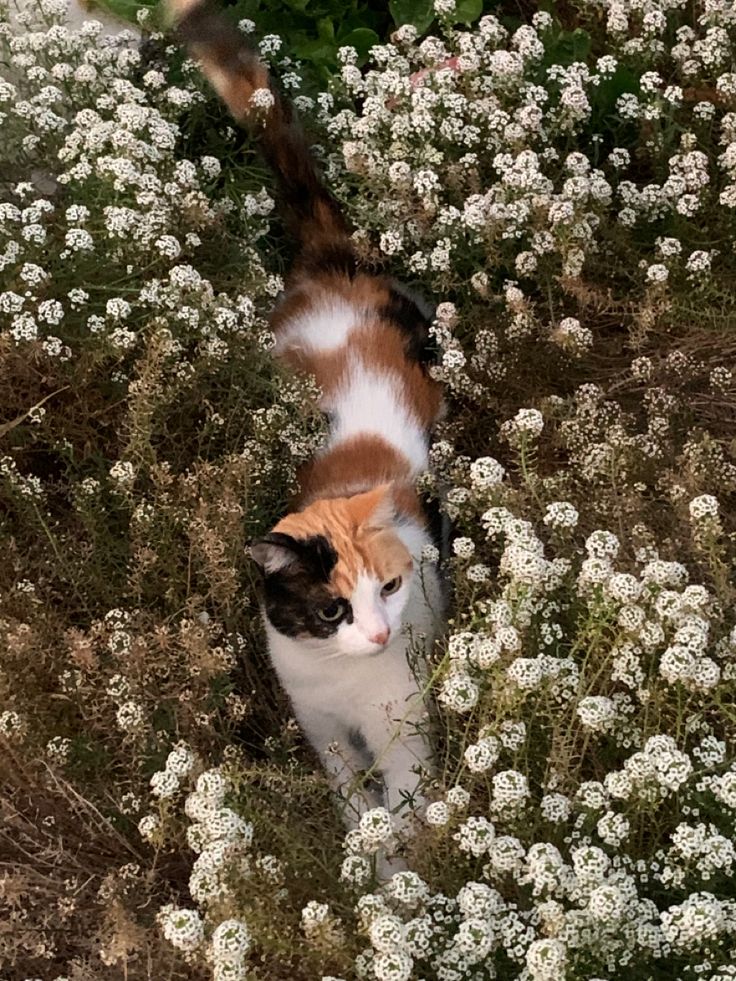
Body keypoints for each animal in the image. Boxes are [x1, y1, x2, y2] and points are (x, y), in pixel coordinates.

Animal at [167, 0, 446, 856]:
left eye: (391, 587)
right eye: (330, 610)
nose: (381, 635)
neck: (345, 679)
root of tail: (328, 265)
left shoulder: (403, 726)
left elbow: (401, 813)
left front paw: (396, 872)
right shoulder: (321, 726)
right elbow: (354, 803)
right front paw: (363, 857)